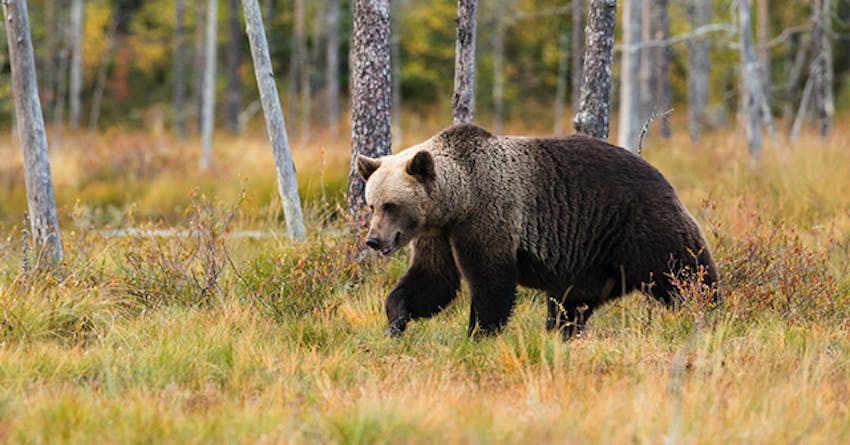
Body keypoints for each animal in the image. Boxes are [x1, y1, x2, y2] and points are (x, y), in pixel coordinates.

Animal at [356, 123, 718, 338]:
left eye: (391, 205)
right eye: (371, 204)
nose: (373, 240)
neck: (459, 200)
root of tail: (662, 177)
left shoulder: (489, 216)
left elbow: (491, 281)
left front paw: (478, 333)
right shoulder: (439, 235)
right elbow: (433, 280)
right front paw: (396, 320)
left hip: (639, 225)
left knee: (683, 271)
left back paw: (708, 311)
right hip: (590, 260)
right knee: (572, 304)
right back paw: (561, 332)